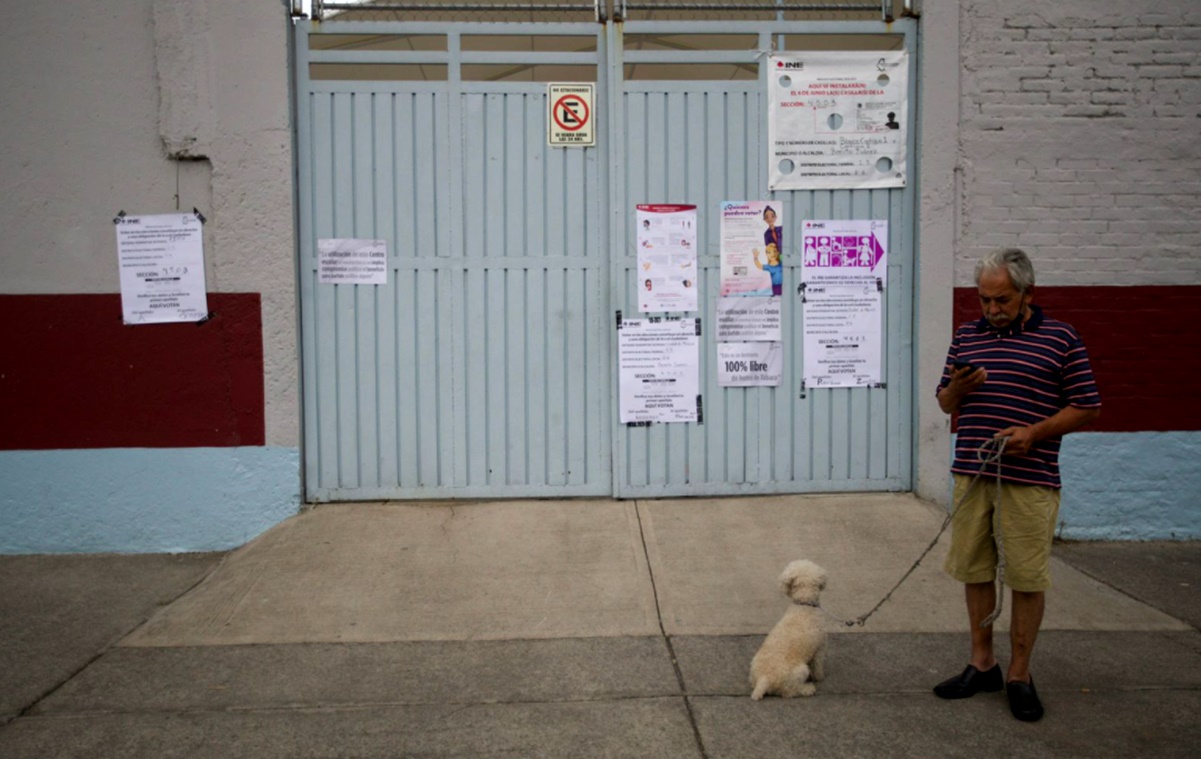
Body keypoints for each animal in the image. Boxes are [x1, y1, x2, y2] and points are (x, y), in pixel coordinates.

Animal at [744, 557, 831, 701]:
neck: (804, 604)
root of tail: (764, 679)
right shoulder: (820, 647)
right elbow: (817, 665)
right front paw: (819, 677)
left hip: (753, 667)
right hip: (799, 672)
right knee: (790, 692)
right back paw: (807, 688)